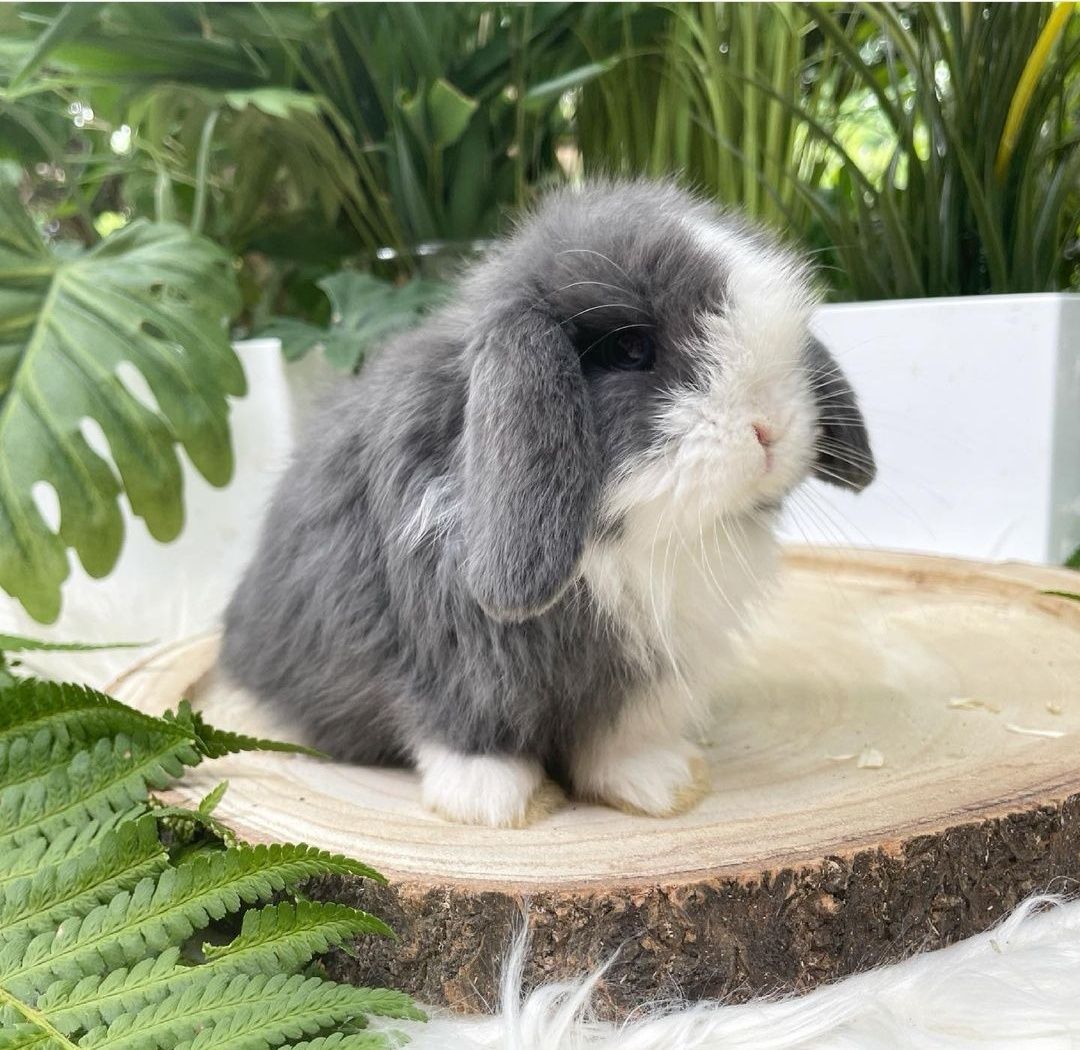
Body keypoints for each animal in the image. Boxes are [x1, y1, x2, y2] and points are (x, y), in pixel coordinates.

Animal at [221, 184, 876, 833]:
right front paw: (495, 801)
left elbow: (620, 737)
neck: (623, 547)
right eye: (630, 348)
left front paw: (662, 784)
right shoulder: (449, 656)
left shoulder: (645, 673)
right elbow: (465, 729)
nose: (771, 428)